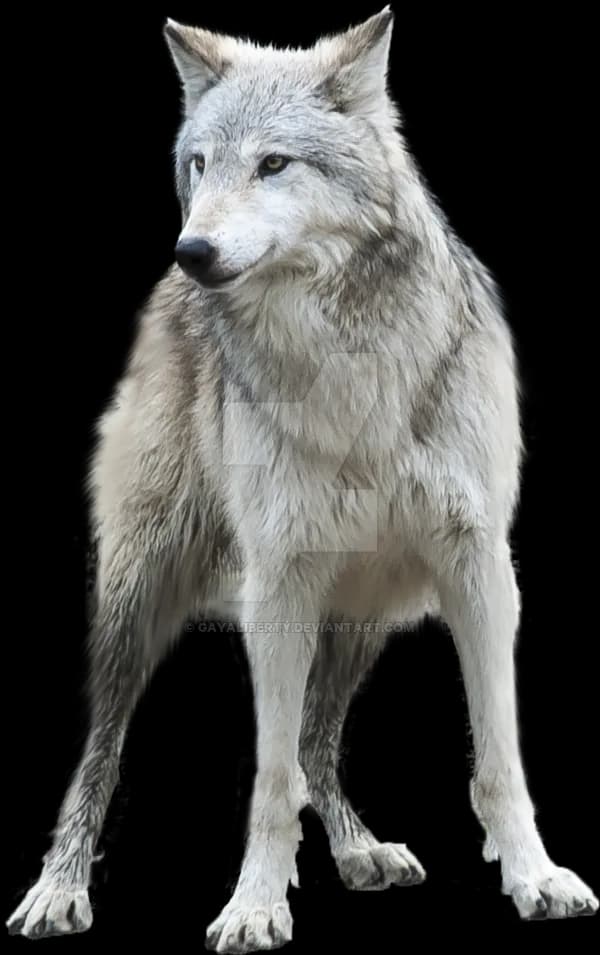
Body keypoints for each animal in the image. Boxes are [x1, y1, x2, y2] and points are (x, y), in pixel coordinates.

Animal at [7, 7, 598, 950]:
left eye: (274, 164)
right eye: (201, 164)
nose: (194, 250)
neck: (351, 369)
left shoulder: (478, 568)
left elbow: (498, 759)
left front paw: (535, 877)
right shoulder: (277, 583)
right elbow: (270, 778)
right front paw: (254, 905)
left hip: (363, 610)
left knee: (321, 738)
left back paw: (359, 850)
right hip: (140, 596)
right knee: (104, 749)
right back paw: (59, 889)